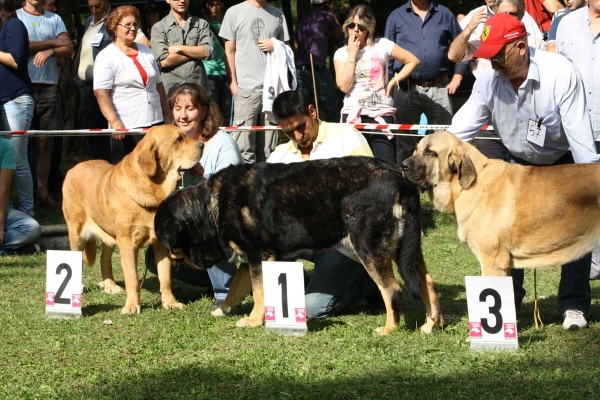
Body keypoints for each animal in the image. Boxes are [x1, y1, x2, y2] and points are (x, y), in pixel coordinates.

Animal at [62, 124, 202, 312]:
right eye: (179, 139)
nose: (202, 144)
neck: (154, 191)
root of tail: (73, 168)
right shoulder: (128, 243)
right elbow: (132, 279)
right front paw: (132, 306)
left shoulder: (161, 244)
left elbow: (165, 278)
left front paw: (170, 302)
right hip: (76, 233)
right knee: (76, 257)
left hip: (110, 235)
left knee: (104, 258)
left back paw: (110, 285)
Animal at [155, 156, 446, 334]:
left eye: (176, 248)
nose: (179, 263)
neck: (210, 206)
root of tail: (400, 177)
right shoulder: (251, 258)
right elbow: (236, 289)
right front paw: (225, 309)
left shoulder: (258, 255)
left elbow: (259, 293)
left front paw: (253, 320)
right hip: (406, 248)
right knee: (427, 282)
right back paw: (432, 323)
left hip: (368, 246)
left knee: (393, 290)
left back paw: (388, 328)